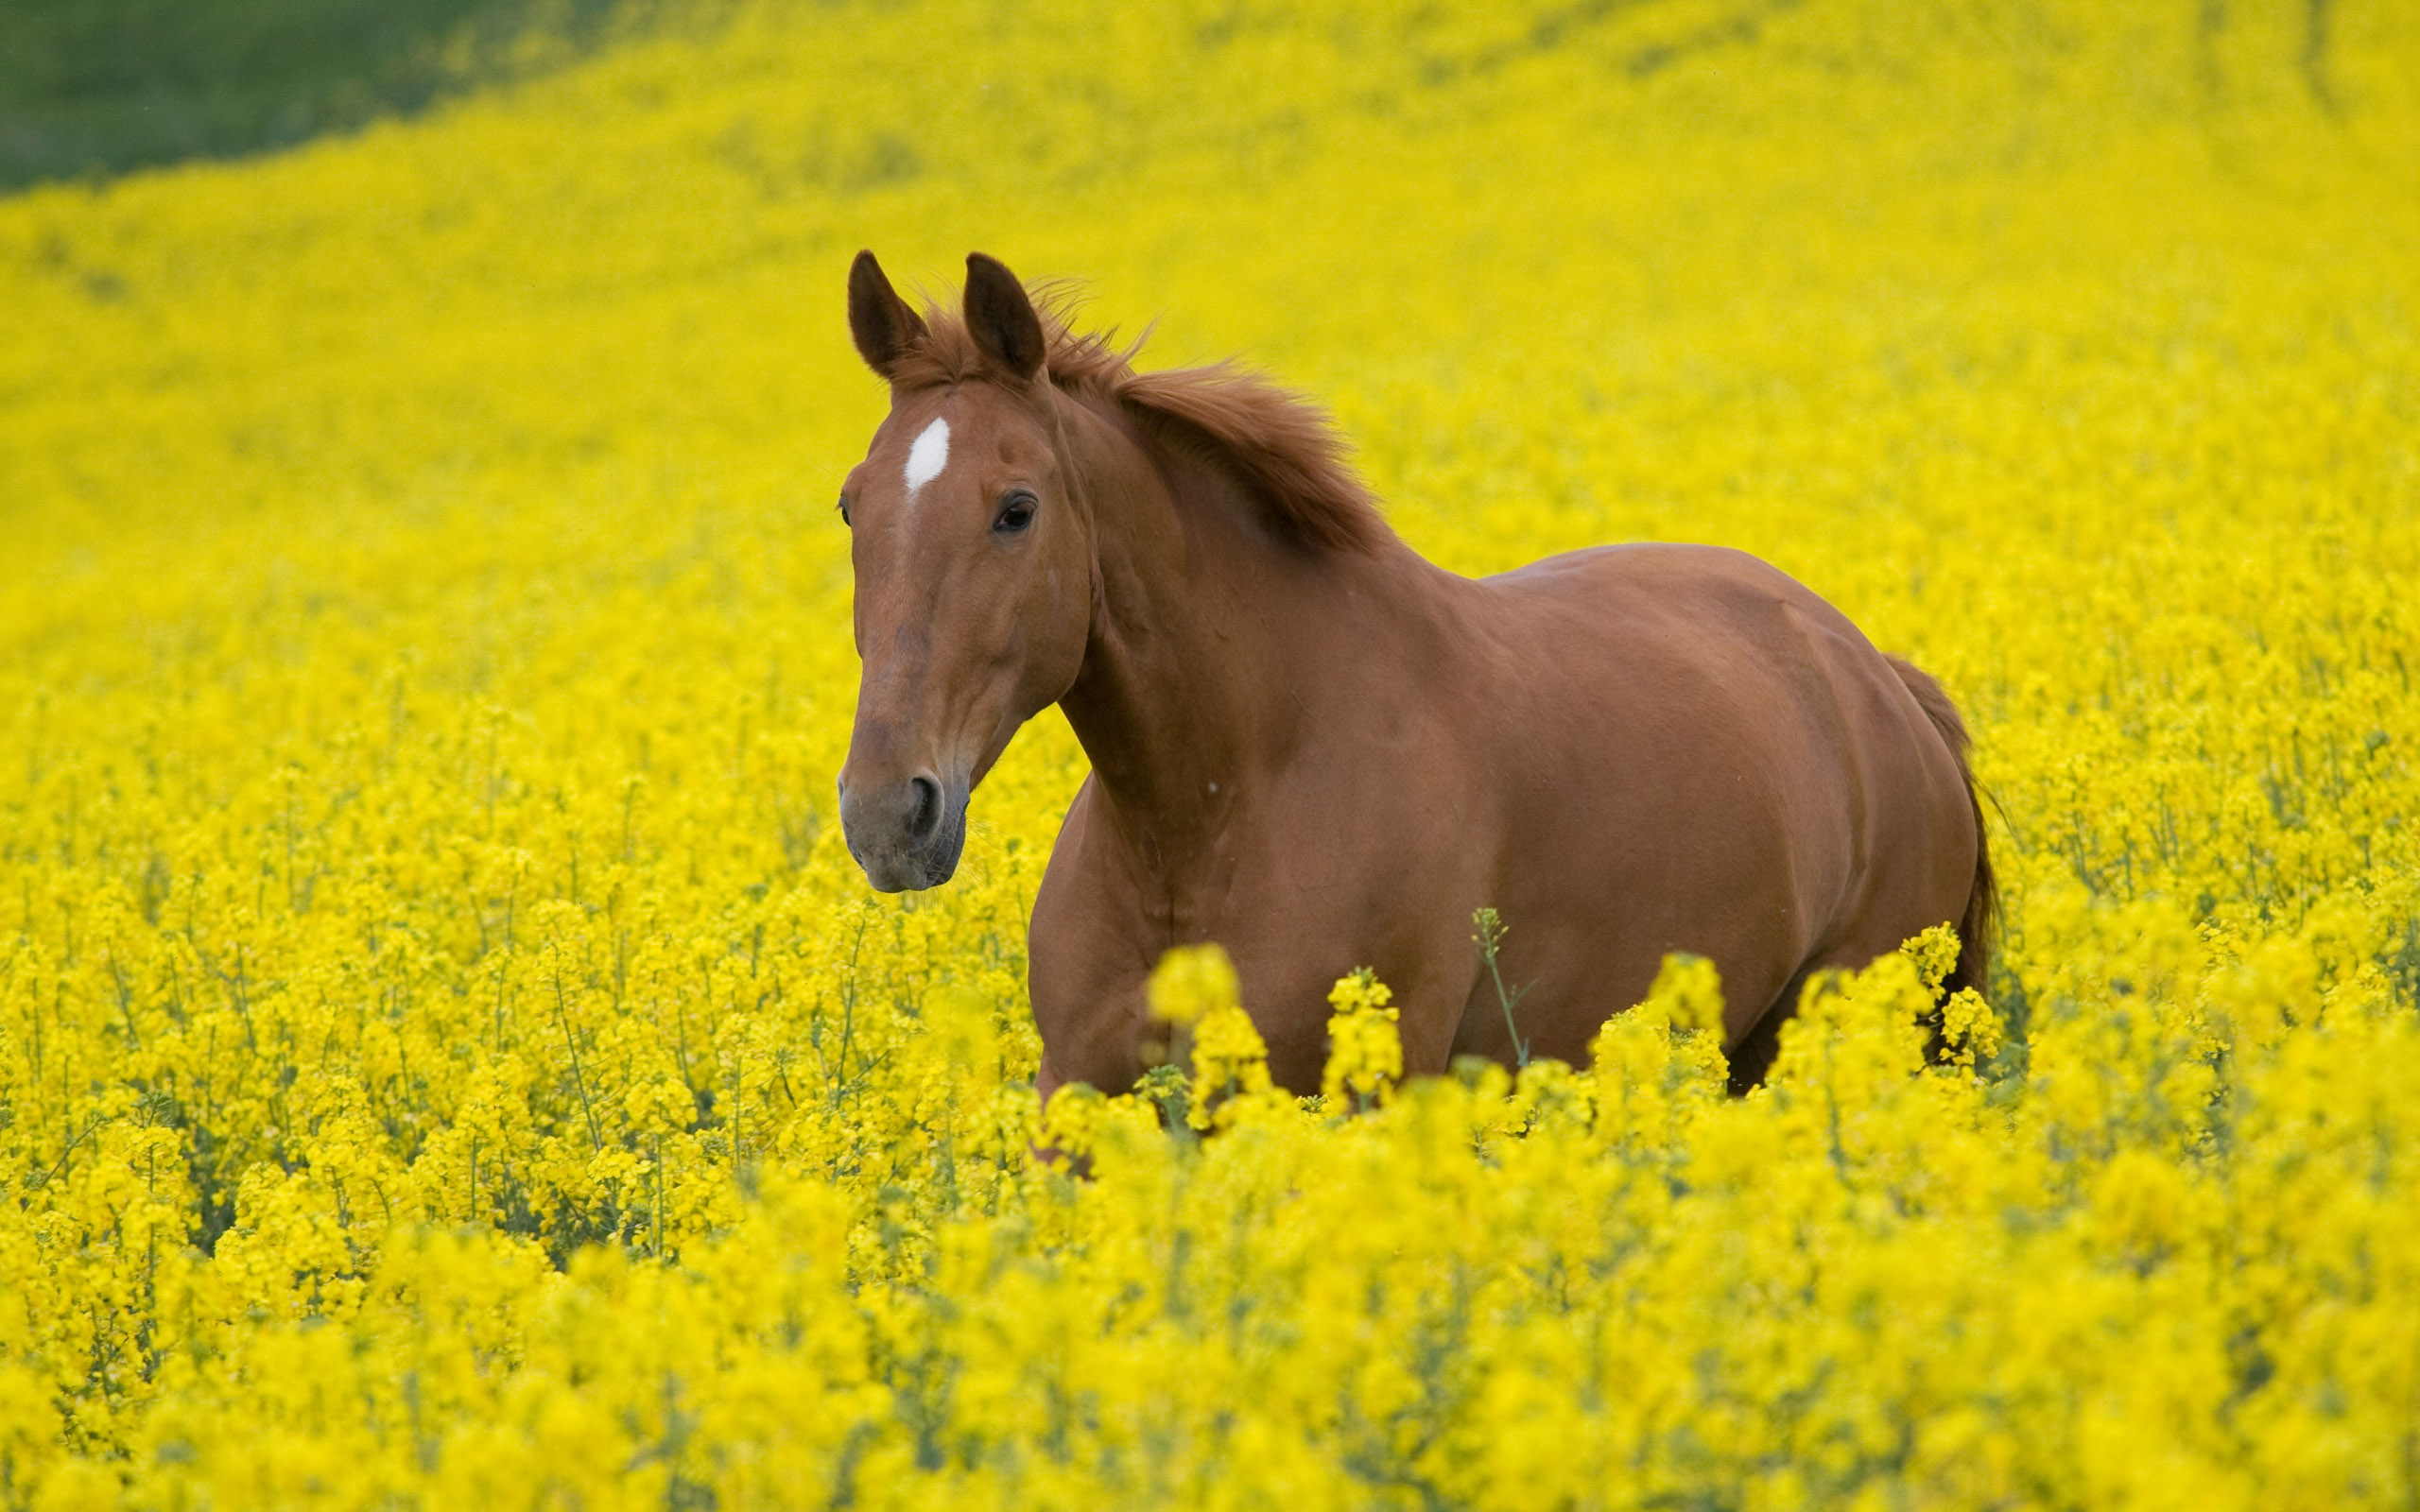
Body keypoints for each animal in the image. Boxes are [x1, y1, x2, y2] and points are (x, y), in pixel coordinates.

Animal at [832, 249, 1984, 1098]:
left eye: (1016, 508)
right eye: (851, 504)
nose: (889, 814)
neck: (1211, 818)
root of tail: (1877, 679)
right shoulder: (1076, 1101)